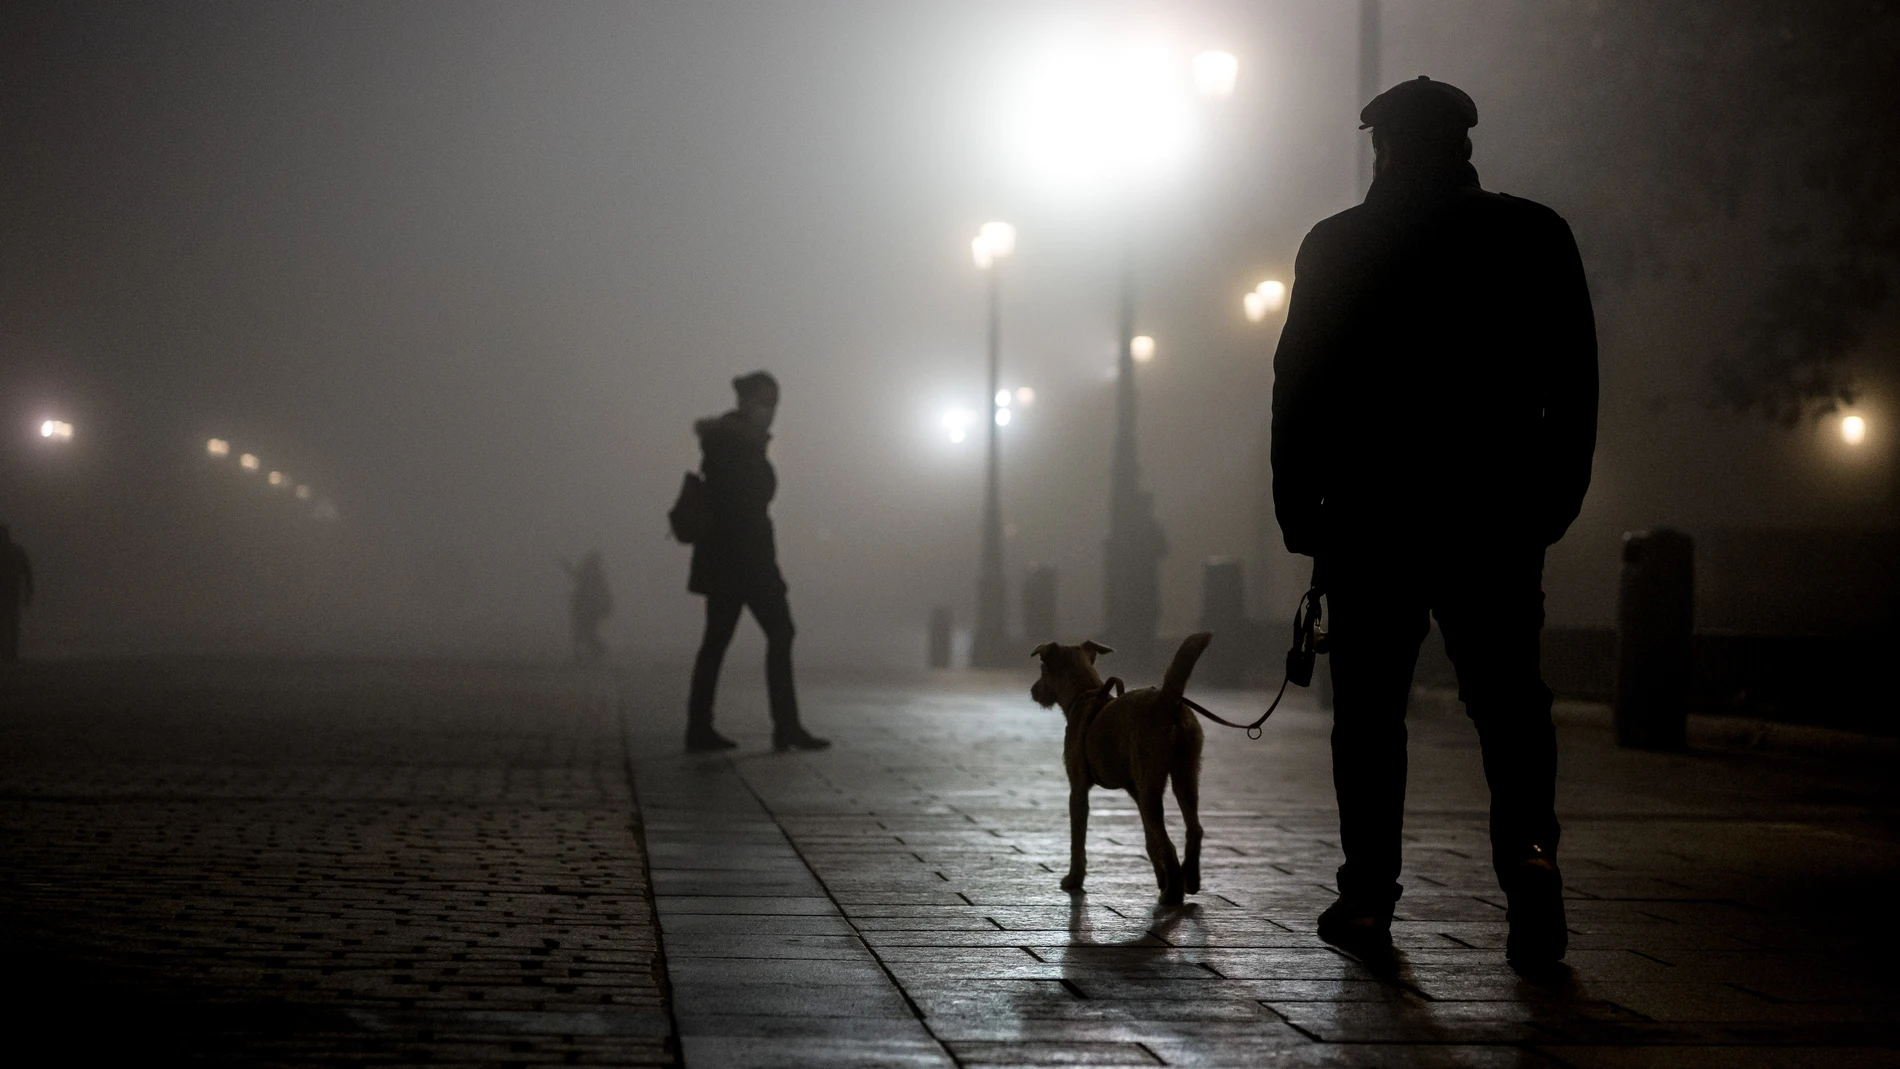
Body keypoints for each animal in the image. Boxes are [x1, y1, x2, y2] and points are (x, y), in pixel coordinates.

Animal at [1033, 630, 1208, 907]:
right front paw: (1161, 877)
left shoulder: (1078, 789)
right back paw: (1188, 879)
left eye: (1042, 669)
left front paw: (1074, 879)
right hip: (1184, 775)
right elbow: (1149, 841)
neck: (1086, 693)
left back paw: (1172, 894)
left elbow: (1077, 840)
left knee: (1168, 843)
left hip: (1152, 784)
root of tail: (1168, 701)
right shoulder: (1134, 790)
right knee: (1193, 829)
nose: (1033, 690)